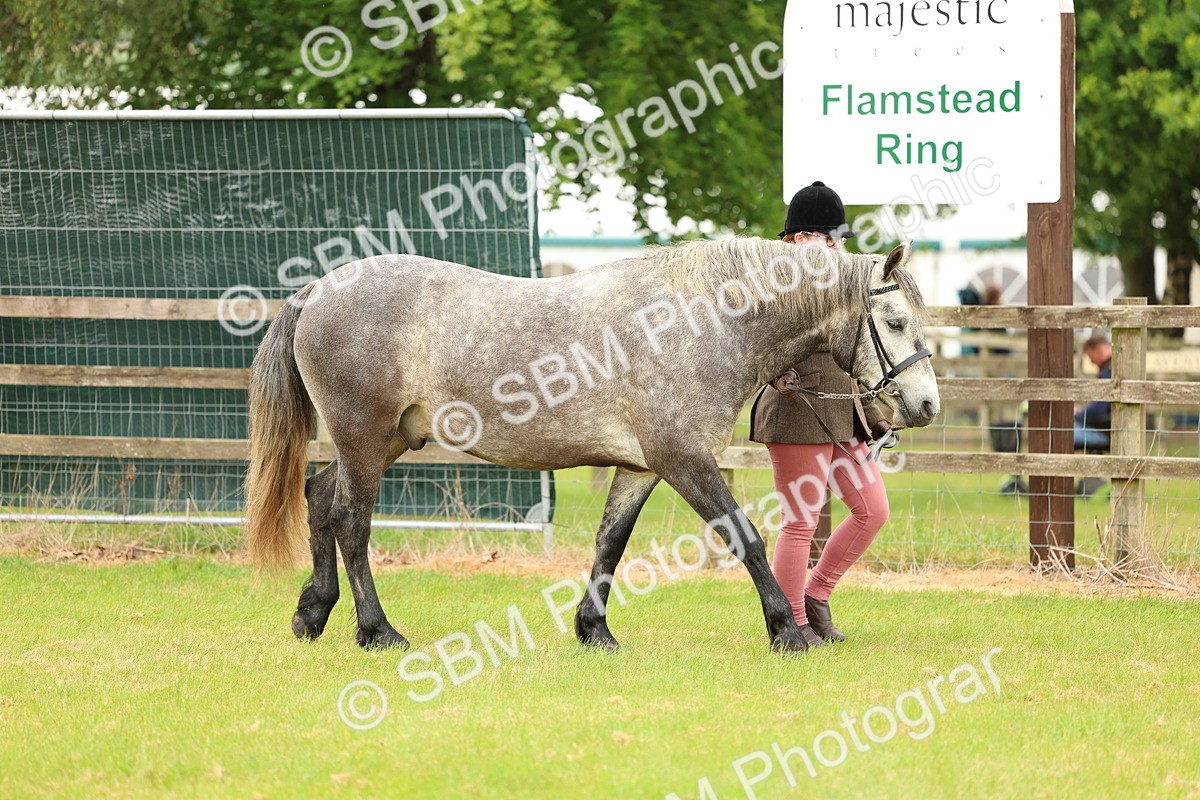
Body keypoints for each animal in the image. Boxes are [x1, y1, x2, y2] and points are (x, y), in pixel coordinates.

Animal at [244, 237, 939, 653]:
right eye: (895, 321)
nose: (926, 405)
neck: (702, 321)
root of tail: (318, 290)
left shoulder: (641, 466)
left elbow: (611, 541)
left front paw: (594, 630)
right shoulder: (684, 459)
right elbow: (745, 536)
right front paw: (787, 632)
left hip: (385, 439)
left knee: (318, 498)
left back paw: (312, 614)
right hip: (364, 438)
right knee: (351, 520)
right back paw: (376, 630)